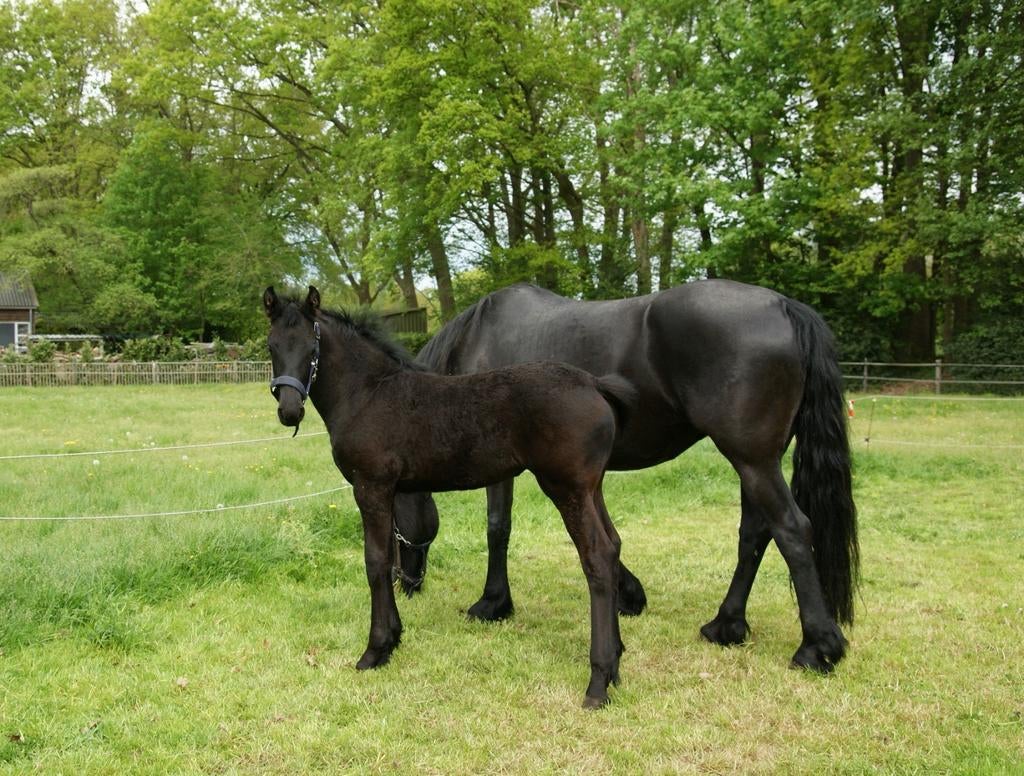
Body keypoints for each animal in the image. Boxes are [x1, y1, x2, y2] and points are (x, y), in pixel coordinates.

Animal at [263, 285, 637, 708]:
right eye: (272, 345)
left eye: (312, 347)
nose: (289, 411)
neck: (367, 393)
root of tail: (594, 384)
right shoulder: (387, 491)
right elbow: (389, 560)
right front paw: (393, 638)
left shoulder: (371, 486)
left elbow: (375, 563)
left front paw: (375, 650)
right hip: (592, 488)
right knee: (613, 544)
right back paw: (616, 663)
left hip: (566, 487)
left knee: (597, 557)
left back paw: (599, 680)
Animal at [395, 280, 858, 673]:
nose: (406, 583)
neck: (478, 338)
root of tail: (784, 306)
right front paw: (629, 594)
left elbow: (498, 527)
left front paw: (492, 604)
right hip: (757, 462)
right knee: (755, 534)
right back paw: (726, 626)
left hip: (753, 460)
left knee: (792, 530)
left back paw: (817, 647)